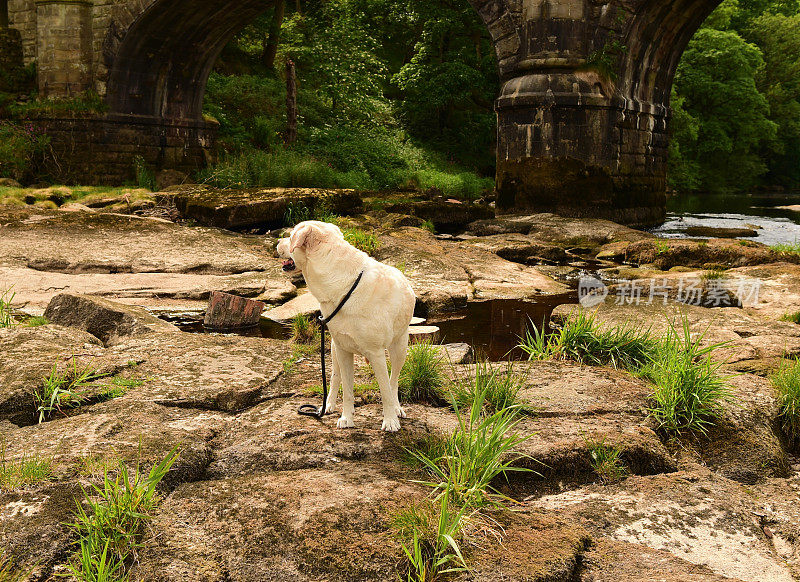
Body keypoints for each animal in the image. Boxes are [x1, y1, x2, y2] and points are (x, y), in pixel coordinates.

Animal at [276, 221, 416, 432]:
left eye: (291, 236)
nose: (277, 242)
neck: (345, 287)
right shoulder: (343, 350)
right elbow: (348, 389)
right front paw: (346, 418)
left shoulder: (376, 354)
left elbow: (385, 390)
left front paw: (390, 420)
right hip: (334, 348)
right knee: (335, 377)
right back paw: (328, 405)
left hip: (400, 347)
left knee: (394, 380)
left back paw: (397, 408)